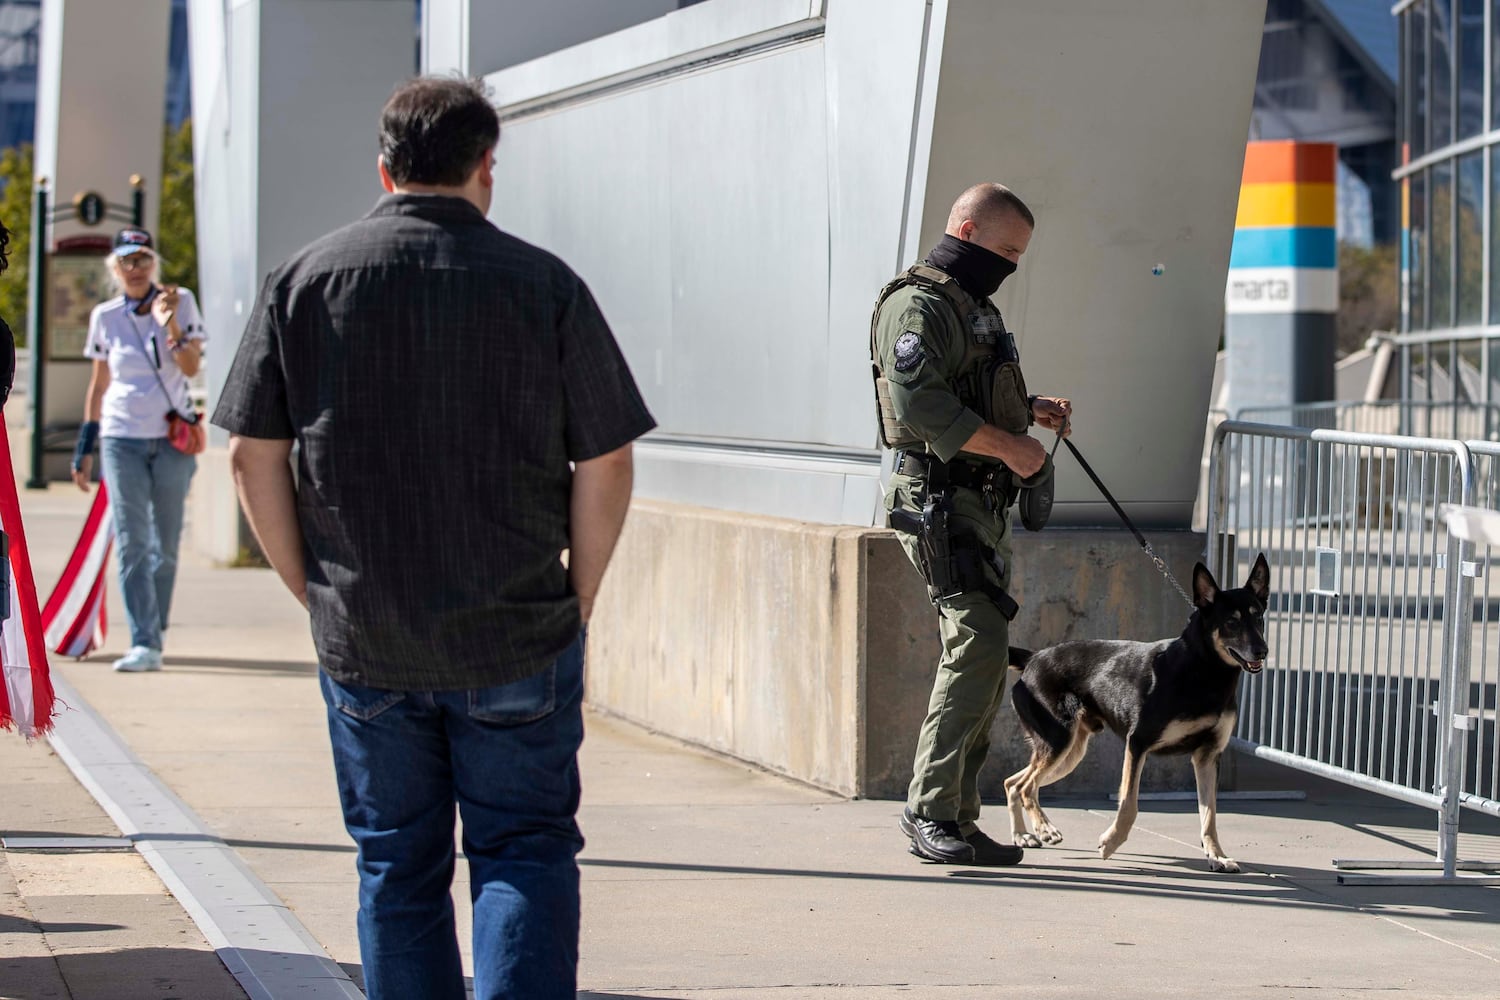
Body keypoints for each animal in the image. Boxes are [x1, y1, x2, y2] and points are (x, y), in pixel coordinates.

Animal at [1002, 551, 1272, 869]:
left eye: (1259, 617)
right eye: (1231, 622)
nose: (1262, 651)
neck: (1201, 668)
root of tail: (1033, 659)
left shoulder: (1207, 756)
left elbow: (1209, 815)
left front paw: (1216, 855)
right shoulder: (1138, 743)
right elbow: (1129, 804)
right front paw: (1110, 843)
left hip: (1069, 754)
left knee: (1014, 783)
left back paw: (1022, 835)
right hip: (1058, 742)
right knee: (1026, 786)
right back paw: (1043, 828)